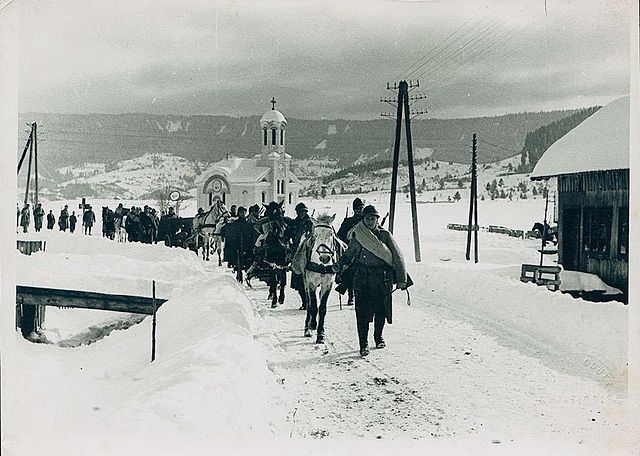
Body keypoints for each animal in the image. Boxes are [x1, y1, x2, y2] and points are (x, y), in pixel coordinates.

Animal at [294, 213, 344, 342]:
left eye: (331, 234)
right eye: (315, 235)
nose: (325, 257)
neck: (321, 265)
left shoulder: (327, 284)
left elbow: (322, 308)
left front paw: (321, 333)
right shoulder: (311, 284)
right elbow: (313, 306)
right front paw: (312, 326)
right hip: (305, 282)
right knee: (308, 302)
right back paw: (307, 327)